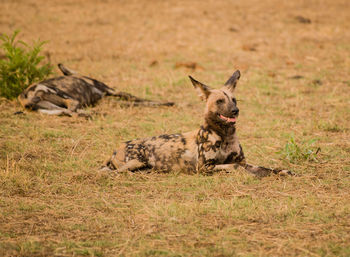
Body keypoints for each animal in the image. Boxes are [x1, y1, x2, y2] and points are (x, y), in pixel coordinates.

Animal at [17, 63, 174, 116]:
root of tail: (23, 96)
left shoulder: (107, 99)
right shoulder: (111, 91)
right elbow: (140, 99)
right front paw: (168, 103)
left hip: (48, 108)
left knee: (68, 111)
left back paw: (92, 113)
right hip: (58, 93)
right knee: (72, 106)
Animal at [102, 69, 294, 176]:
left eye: (234, 100)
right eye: (220, 101)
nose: (235, 111)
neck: (225, 135)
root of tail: (115, 149)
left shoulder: (242, 161)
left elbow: (266, 168)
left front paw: (282, 172)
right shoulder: (205, 168)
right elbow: (236, 167)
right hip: (136, 162)